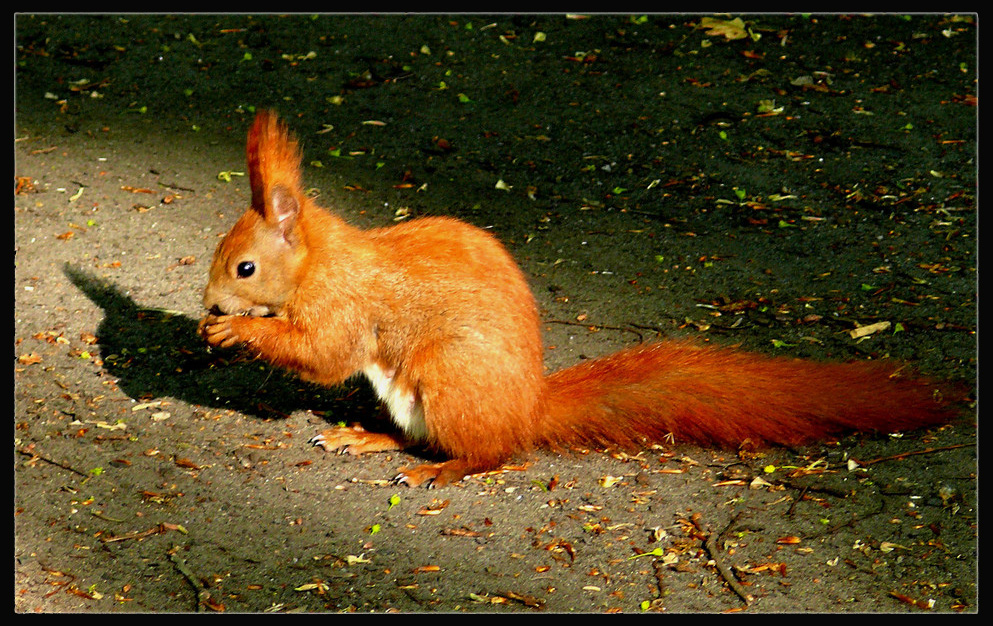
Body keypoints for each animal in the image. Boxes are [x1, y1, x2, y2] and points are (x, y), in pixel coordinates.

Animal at [200, 109, 960, 486]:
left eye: (244, 268)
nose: (208, 304)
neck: (321, 259)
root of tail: (527, 407)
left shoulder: (346, 307)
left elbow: (325, 356)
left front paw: (240, 332)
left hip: (449, 376)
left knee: (490, 453)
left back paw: (440, 474)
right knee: (417, 435)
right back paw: (365, 437)